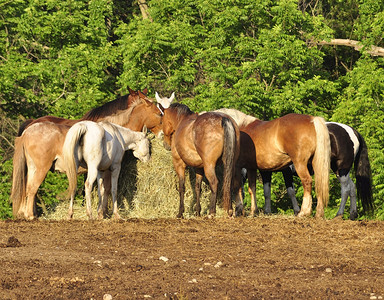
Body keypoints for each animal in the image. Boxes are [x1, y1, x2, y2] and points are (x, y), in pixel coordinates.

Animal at [10, 88, 164, 219]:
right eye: (158, 113)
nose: (163, 134)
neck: (116, 132)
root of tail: (28, 130)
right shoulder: (110, 169)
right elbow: (108, 189)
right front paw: (104, 213)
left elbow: (102, 190)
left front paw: (101, 212)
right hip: (42, 169)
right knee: (32, 189)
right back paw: (31, 215)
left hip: (32, 168)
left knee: (28, 189)